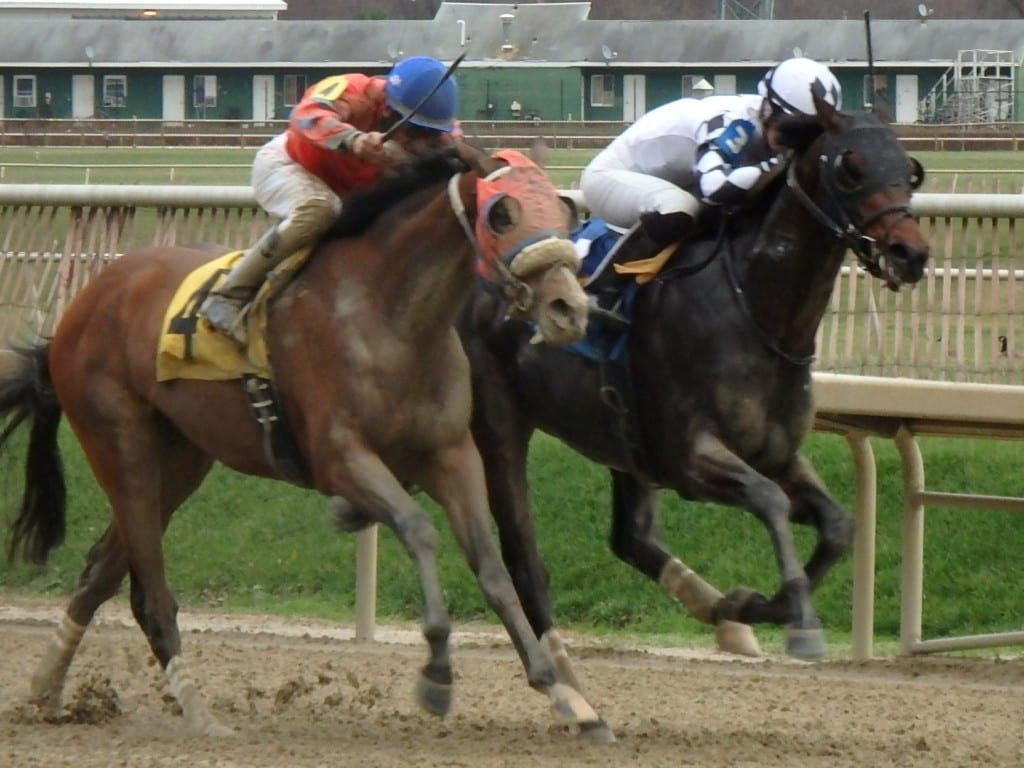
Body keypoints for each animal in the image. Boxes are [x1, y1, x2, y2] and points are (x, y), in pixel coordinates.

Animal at [0, 144, 602, 741]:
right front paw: (437, 672)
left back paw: (47, 689)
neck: (389, 315)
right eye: (503, 213)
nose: (568, 308)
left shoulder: (452, 455)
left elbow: (491, 565)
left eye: (563, 209)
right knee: (150, 590)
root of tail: (84, 303)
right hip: (119, 443)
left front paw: (566, 695)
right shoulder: (340, 457)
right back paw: (198, 712)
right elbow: (418, 529)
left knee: (100, 569)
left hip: (181, 457)